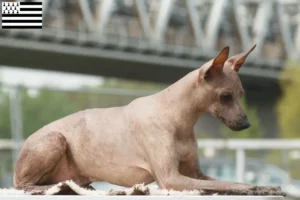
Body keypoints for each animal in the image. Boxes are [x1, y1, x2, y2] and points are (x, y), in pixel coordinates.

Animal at [13, 45, 282, 194]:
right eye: (225, 96)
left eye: (241, 95)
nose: (246, 125)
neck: (179, 119)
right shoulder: (171, 179)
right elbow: (232, 185)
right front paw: (254, 187)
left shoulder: (196, 174)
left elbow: (229, 181)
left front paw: (267, 186)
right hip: (54, 139)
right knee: (22, 184)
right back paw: (58, 188)